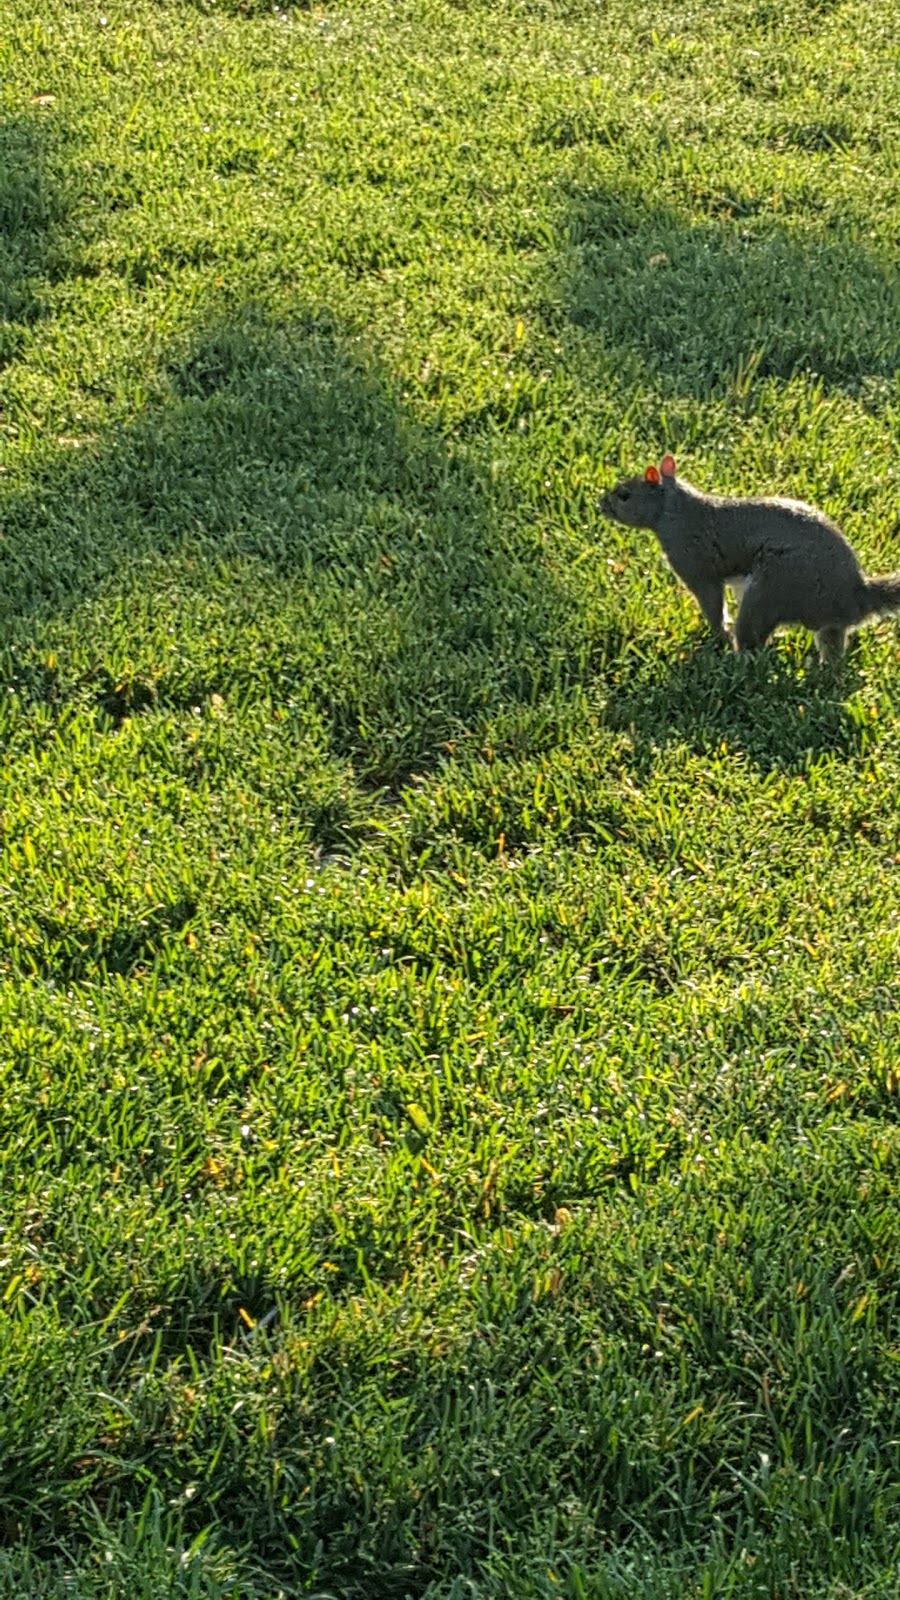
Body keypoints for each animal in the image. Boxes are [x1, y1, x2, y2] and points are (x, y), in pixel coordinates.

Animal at [595, 454, 896, 659]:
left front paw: (720, 635)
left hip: (770, 590)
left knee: (752, 639)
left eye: (624, 495)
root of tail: (854, 597)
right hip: (817, 617)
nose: (601, 505)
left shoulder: (695, 564)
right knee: (832, 648)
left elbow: (712, 604)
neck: (673, 509)